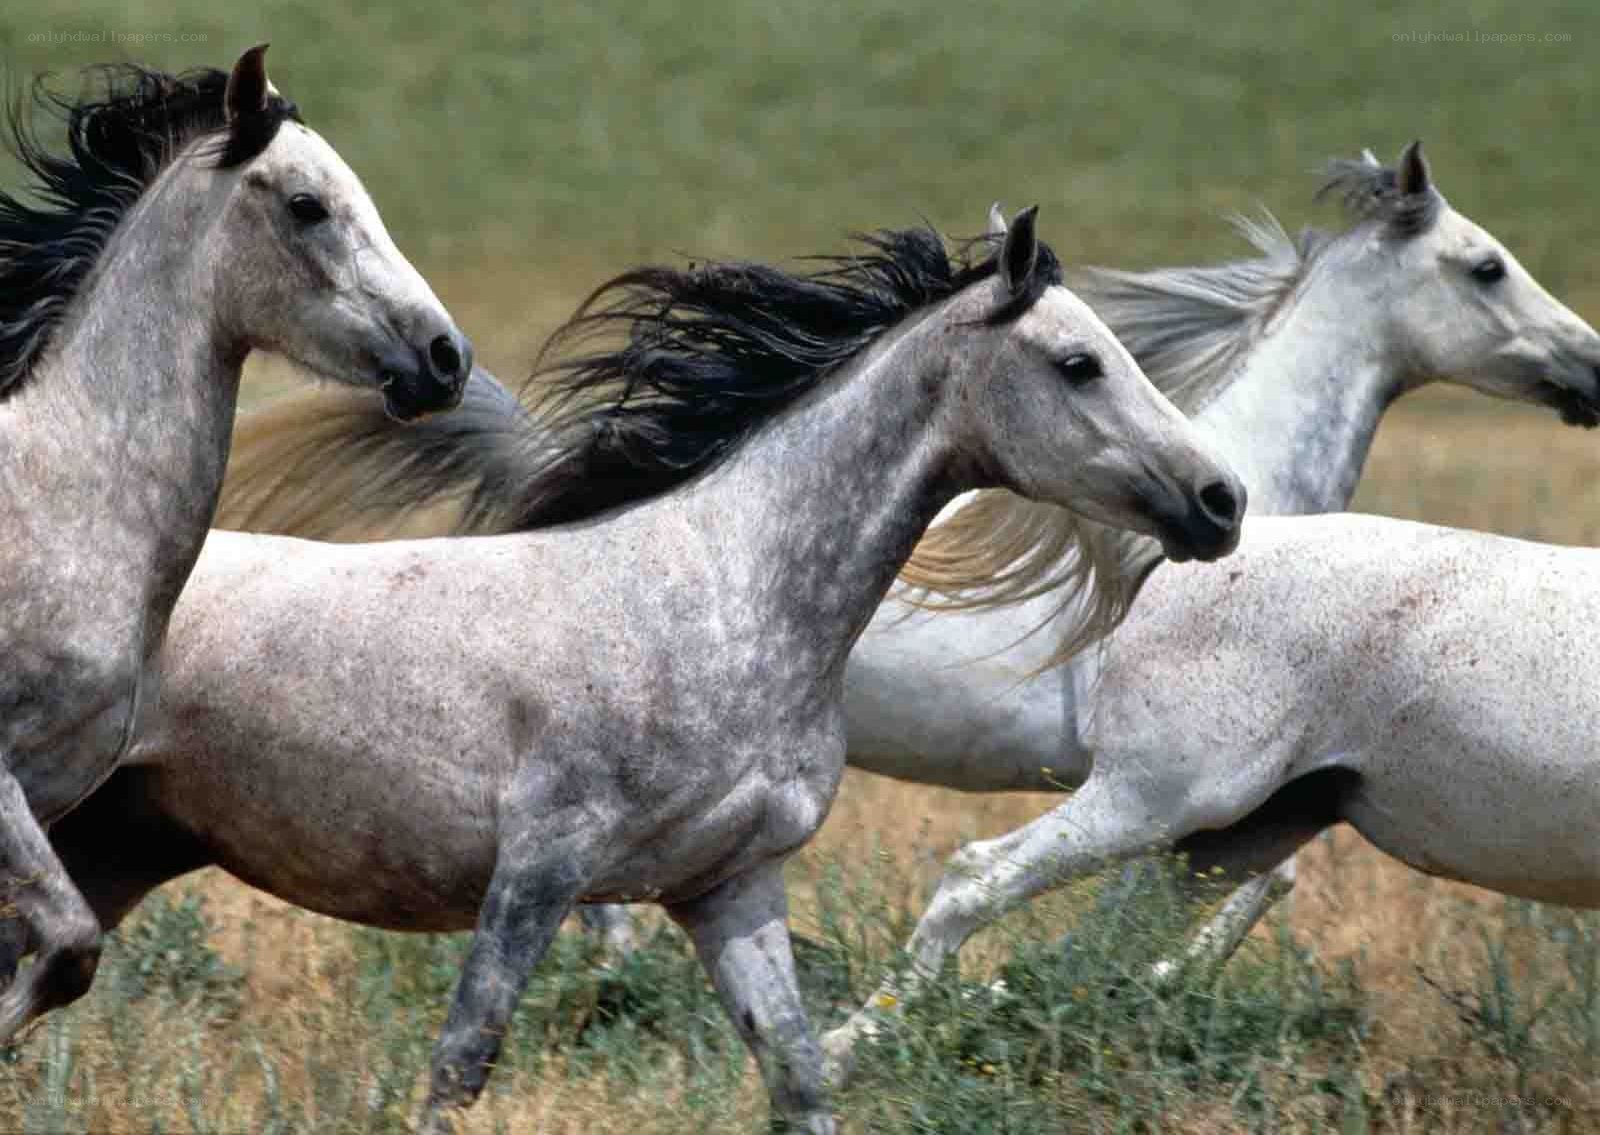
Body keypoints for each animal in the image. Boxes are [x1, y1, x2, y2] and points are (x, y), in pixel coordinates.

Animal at [3, 209, 1245, 1132]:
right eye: (1079, 363)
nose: (1221, 500)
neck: (715, 596)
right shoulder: (540, 868)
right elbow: (461, 1063)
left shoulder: (730, 887)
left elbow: (798, 1077)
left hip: (119, 846)